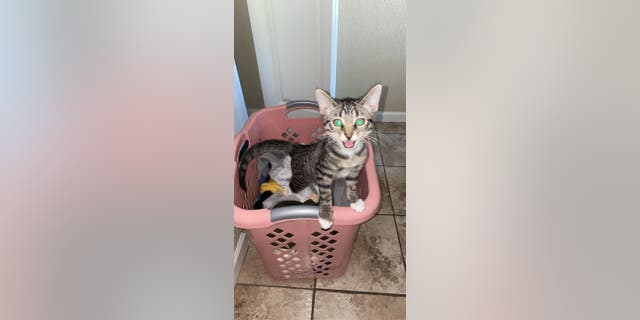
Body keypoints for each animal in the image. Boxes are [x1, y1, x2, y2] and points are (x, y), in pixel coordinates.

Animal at [239, 84, 380, 229]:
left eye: (360, 121)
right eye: (337, 122)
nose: (348, 135)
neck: (348, 155)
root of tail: (298, 147)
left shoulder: (354, 171)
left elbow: (351, 185)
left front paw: (355, 200)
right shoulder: (323, 172)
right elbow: (326, 195)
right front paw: (326, 216)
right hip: (301, 178)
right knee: (292, 186)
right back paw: (291, 192)